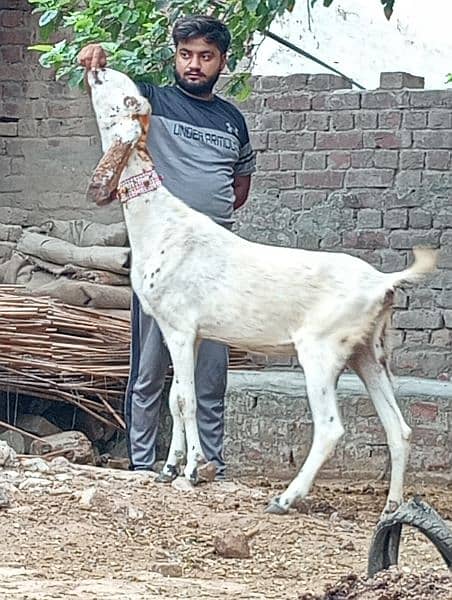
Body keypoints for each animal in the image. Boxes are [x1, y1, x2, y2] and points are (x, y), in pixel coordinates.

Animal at [86, 68, 436, 512]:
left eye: (125, 96)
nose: (97, 68)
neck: (160, 221)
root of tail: (382, 282)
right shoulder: (183, 332)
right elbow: (175, 396)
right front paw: (169, 467)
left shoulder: (180, 327)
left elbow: (186, 399)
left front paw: (192, 470)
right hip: (368, 353)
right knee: (399, 429)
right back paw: (391, 506)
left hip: (321, 349)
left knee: (331, 428)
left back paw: (286, 498)